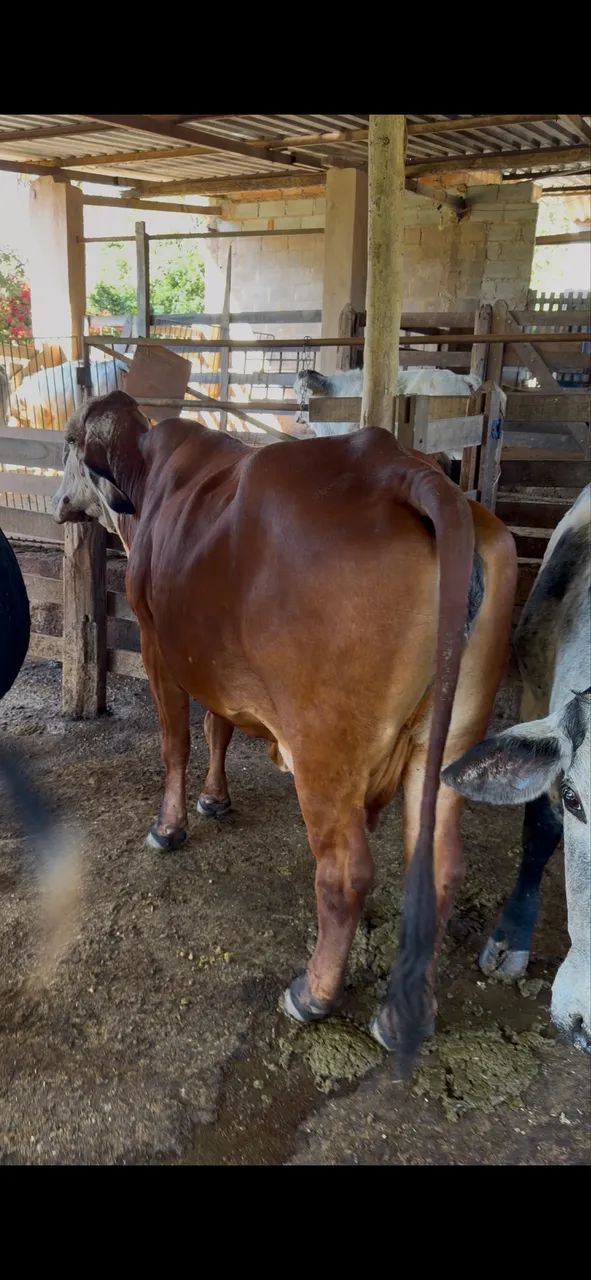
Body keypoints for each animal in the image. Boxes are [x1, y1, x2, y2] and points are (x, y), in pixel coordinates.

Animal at [52, 389, 517, 1073]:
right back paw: (408, 1013)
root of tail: (402, 467)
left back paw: (314, 993)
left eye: (70, 443)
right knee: (438, 866)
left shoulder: (160, 647)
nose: (59, 503)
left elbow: (176, 743)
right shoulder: (214, 663)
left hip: (325, 751)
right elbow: (218, 728)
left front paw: (170, 826)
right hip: (450, 741)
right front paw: (215, 799)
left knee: (345, 872)